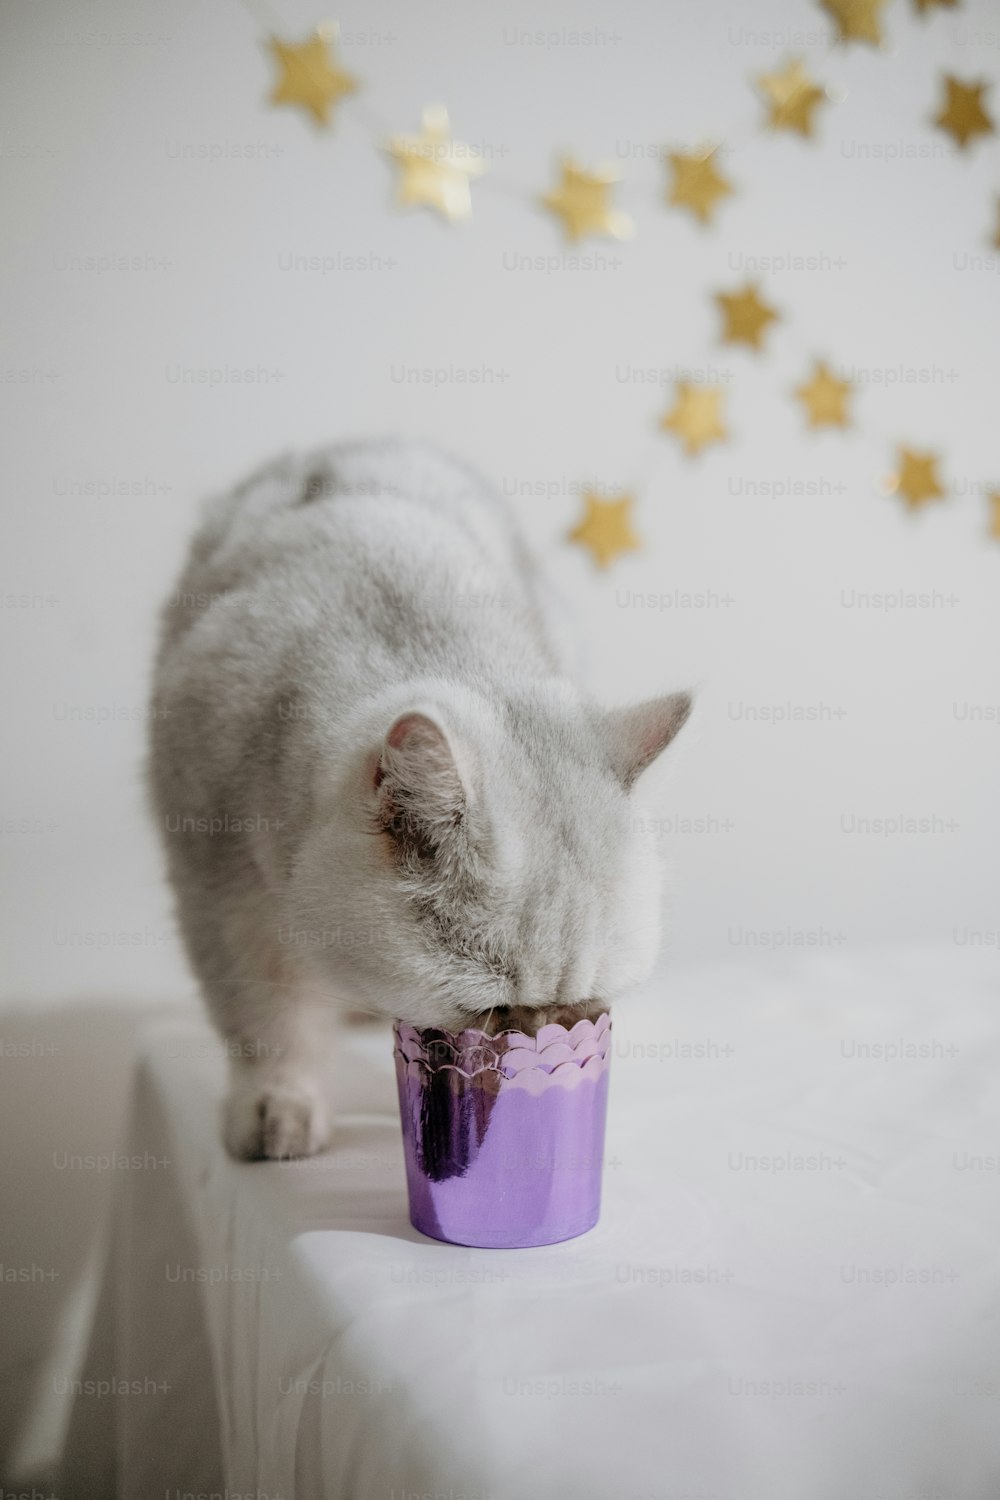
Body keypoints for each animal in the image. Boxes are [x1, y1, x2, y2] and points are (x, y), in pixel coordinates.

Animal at [150, 438, 689, 1158]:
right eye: (489, 1012)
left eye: (583, 1006)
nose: (543, 1045)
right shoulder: (222, 894)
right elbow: (265, 1018)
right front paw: (277, 1105)